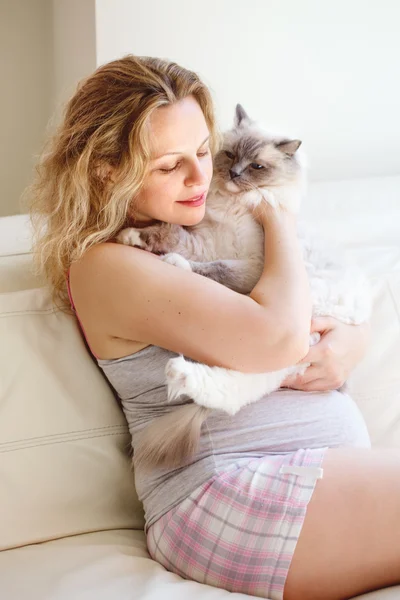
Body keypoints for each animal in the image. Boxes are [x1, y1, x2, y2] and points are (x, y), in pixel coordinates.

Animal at [116, 103, 372, 468]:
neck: (231, 206)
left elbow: (216, 269)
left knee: (236, 391)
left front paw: (169, 260)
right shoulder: (207, 242)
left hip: (289, 337)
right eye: (230, 155)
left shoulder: (250, 267)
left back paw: (180, 372)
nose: (235, 174)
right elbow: (169, 234)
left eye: (256, 166)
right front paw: (129, 237)